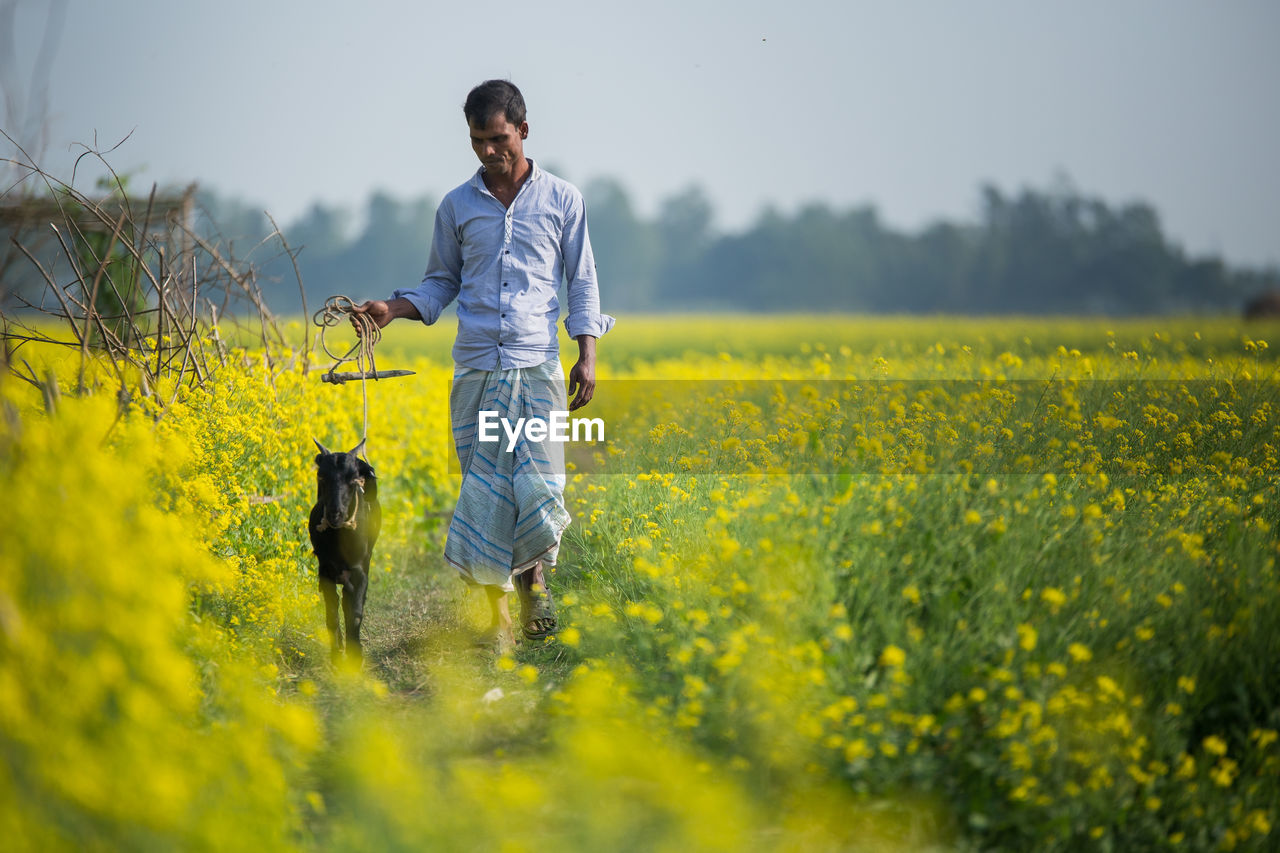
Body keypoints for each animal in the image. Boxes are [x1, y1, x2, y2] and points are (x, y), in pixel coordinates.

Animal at [309, 435, 378, 660]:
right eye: (322, 477)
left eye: (353, 479)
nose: (334, 513)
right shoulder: (325, 571)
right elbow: (331, 613)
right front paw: (337, 654)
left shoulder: (359, 571)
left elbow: (354, 614)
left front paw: (355, 657)